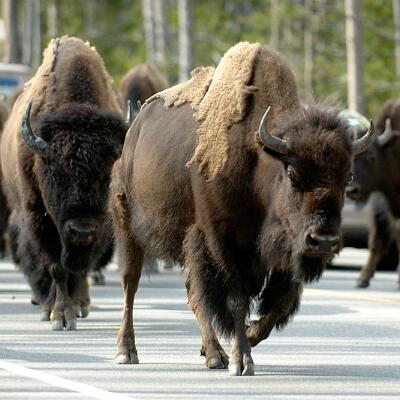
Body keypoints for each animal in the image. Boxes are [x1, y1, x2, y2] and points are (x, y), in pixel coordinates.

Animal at [0, 36, 127, 330]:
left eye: (105, 175)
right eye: (57, 174)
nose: (81, 230)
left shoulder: (100, 224)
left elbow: (79, 268)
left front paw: (73, 309)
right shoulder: (40, 218)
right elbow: (56, 266)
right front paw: (58, 315)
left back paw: (81, 303)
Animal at [110, 42, 376, 376]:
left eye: (347, 176)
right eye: (292, 173)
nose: (324, 240)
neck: (259, 159)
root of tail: (134, 128)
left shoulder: (282, 251)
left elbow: (281, 302)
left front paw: (248, 336)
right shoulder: (224, 242)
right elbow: (236, 298)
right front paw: (242, 360)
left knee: (192, 293)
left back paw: (213, 354)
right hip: (128, 225)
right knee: (130, 284)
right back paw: (127, 351)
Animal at [346, 99, 400, 289]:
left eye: (372, 157)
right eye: (350, 158)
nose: (351, 190)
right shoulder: (383, 208)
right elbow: (377, 240)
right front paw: (362, 278)